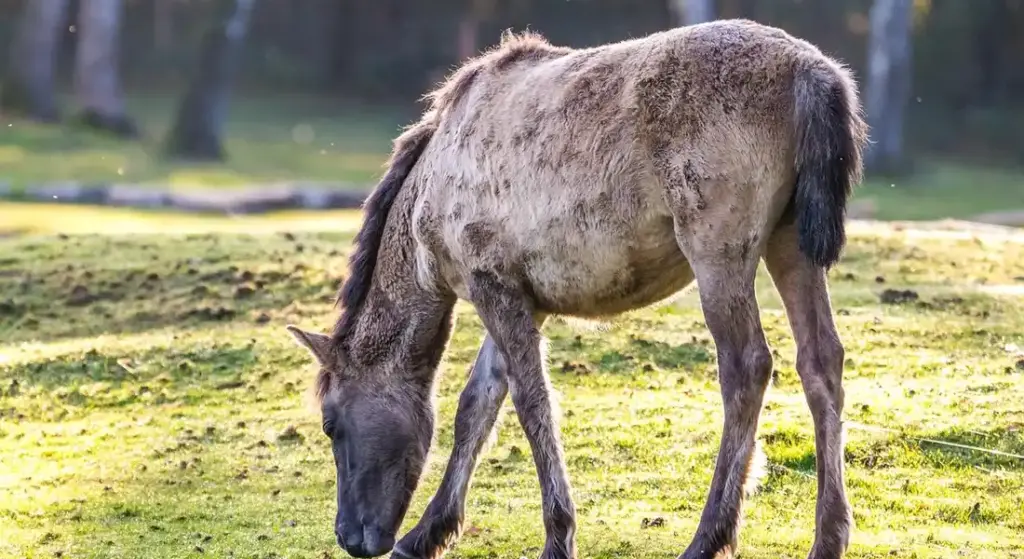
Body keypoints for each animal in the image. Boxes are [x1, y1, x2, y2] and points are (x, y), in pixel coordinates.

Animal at [285, 18, 868, 559]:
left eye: (330, 423)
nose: (350, 535)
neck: (428, 203)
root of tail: (812, 72)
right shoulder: (522, 297)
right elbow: (477, 403)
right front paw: (428, 532)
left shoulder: (491, 285)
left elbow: (530, 402)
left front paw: (558, 535)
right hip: (789, 241)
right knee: (821, 360)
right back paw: (829, 536)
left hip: (718, 248)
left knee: (747, 366)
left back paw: (709, 537)